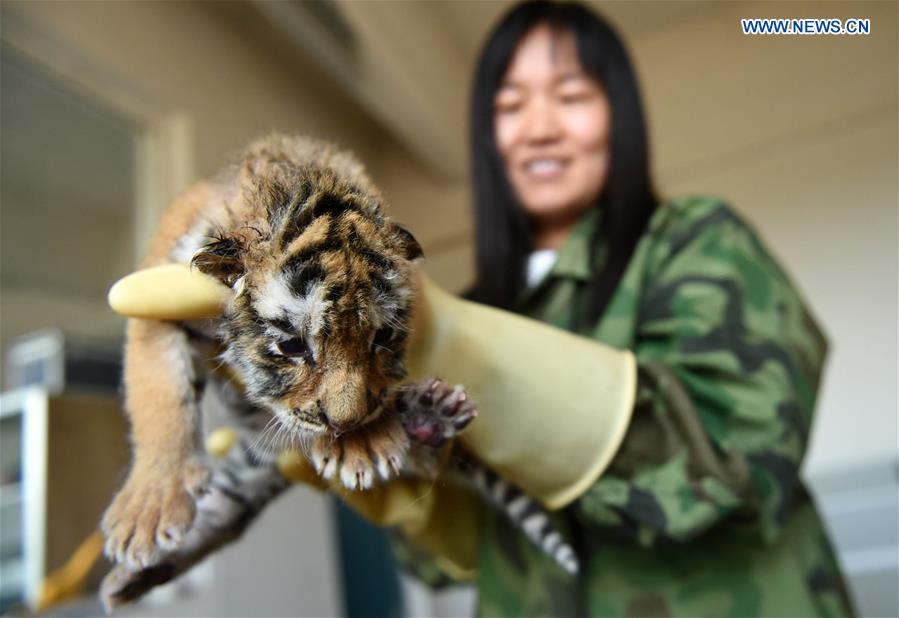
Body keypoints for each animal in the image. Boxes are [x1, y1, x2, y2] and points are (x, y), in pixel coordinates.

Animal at [99, 134, 578, 607]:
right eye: (293, 345)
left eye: (382, 338)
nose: (346, 423)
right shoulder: (154, 302)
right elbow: (159, 397)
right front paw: (149, 509)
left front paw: (363, 440)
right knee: (221, 520)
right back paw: (127, 581)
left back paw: (430, 418)